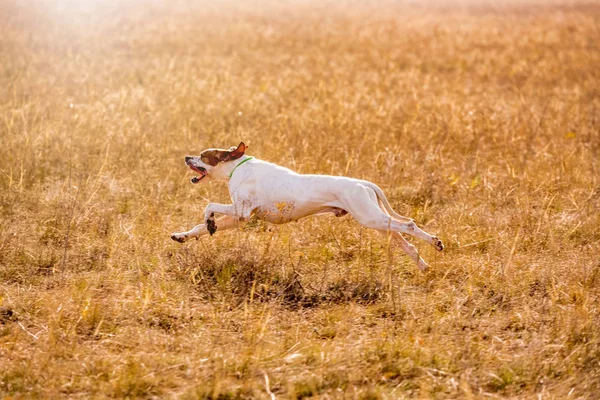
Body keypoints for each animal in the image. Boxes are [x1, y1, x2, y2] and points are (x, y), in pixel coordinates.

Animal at [171, 142, 442, 270]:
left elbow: (209, 206)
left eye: (203, 155)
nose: (185, 157)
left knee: (409, 226)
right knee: (406, 243)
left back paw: (435, 242)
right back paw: (423, 266)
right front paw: (184, 235)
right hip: (377, 222)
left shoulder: (241, 211)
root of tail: (364, 183)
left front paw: (209, 220)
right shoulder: (239, 218)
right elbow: (199, 227)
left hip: (371, 218)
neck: (238, 166)